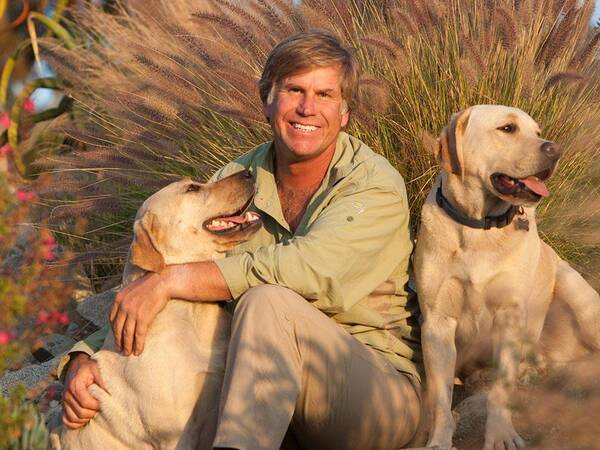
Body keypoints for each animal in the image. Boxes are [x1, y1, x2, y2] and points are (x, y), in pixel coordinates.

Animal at [414, 105, 600, 450]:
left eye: (537, 132)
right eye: (507, 128)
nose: (555, 149)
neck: (478, 227)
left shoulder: (509, 316)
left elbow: (500, 391)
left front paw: (501, 435)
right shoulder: (437, 323)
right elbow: (441, 399)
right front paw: (439, 440)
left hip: (576, 291)